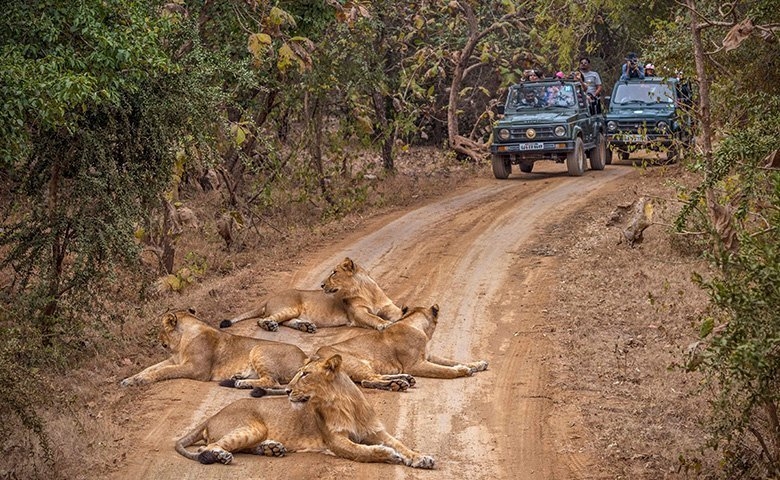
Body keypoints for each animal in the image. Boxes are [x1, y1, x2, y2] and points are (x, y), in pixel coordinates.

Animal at [120, 308, 306, 390]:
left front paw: (141, 380)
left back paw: (241, 383)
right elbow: (150, 368)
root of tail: (305, 357)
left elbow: (164, 371)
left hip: (258, 348)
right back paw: (238, 377)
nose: (158, 340)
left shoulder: (196, 369)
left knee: (272, 381)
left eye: (161, 329)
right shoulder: (173, 359)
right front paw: (129, 379)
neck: (181, 343)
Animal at [173, 352, 436, 468]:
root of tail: (211, 416)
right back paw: (223, 456)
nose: (288, 390)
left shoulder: (377, 431)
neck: (343, 404)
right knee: (208, 448)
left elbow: (402, 445)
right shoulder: (335, 441)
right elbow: (364, 451)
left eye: (305, 374)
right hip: (251, 426)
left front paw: (421, 457)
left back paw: (271, 449)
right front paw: (390, 455)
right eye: (297, 373)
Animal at [218, 258, 406, 334]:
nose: (321, 285)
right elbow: (374, 318)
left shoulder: (388, 306)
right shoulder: (357, 313)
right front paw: (384, 324)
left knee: (285, 321)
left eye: (334, 272)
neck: (365, 291)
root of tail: (268, 298)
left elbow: (398, 313)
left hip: (291, 312)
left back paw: (306, 326)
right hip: (290, 307)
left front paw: (404, 313)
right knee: (264, 320)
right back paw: (271, 326)